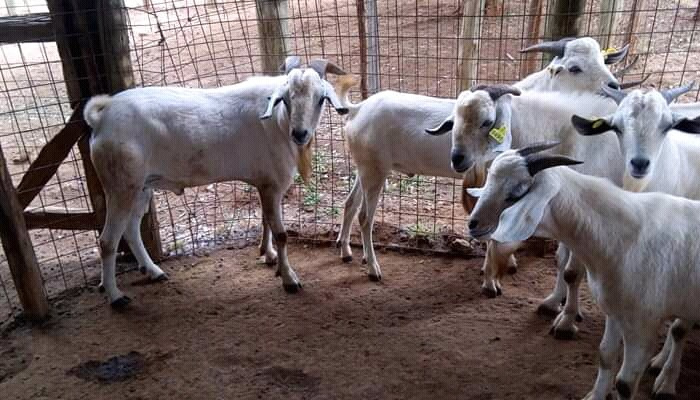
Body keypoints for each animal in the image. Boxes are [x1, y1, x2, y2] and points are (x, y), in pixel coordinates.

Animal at [85, 56, 348, 307]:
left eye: (321, 99)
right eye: (284, 99)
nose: (300, 134)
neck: (278, 122)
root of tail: (103, 116)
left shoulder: (264, 183)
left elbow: (265, 221)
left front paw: (268, 254)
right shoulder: (273, 184)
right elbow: (281, 234)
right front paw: (289, 279)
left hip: (141, 187)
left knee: (130, 229)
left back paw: (153, 271)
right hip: (120, 186)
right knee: (108, 241)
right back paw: (116, 296)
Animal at [335, 37, 631, 281]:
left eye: (603, 60)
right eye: (574, 67)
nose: (613, 86)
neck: (524, 116)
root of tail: (358, 109)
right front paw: (494, 272)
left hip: (367, 170)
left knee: (350, 203)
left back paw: (347, 251)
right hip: (374, 173)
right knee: (365, 217)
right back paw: (373, 268)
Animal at [466, 142, 700, 400]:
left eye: (517, 192)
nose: (473, 224)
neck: (623, 235)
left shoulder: (642, 325)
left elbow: (625, 384)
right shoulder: (615, 311)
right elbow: (605, 356)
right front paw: (596, 395)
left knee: (679, 330)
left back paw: (665, 381)